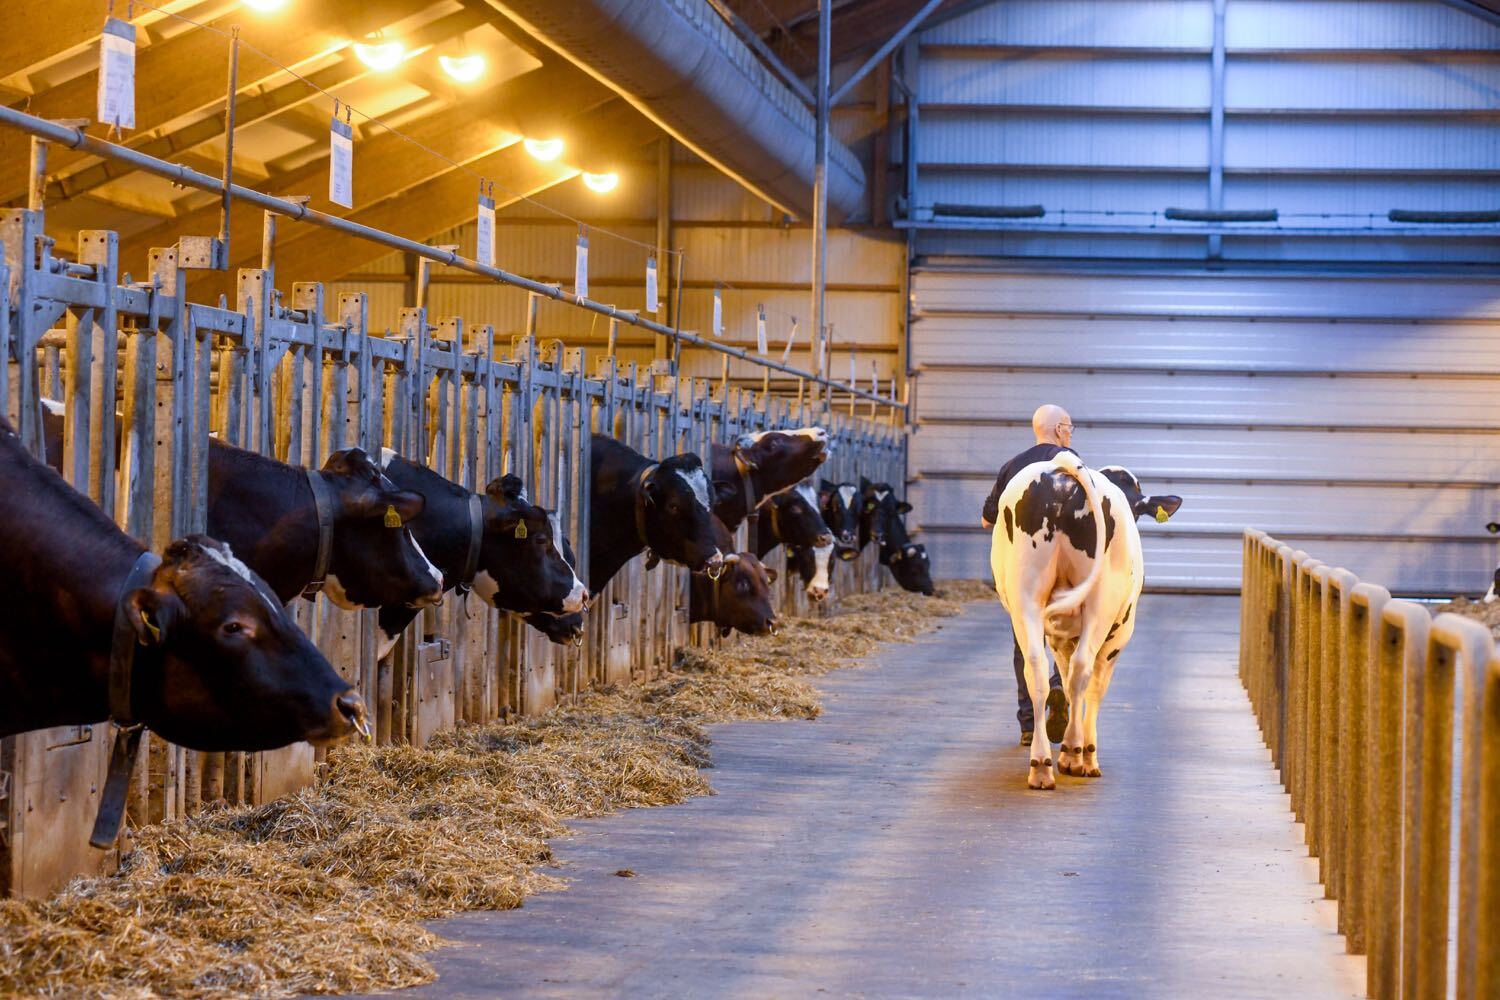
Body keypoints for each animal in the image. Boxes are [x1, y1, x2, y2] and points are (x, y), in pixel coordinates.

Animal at [984, 452, 1182, 791]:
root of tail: (1062, 470)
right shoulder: (1118, 635)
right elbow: (1094, 687)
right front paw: (1083, 754)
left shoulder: (1059, 636)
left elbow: (1062, 679)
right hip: (1100, 604)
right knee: (1083, 669)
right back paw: (1077, 753)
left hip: (1026, 599)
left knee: (1036, 670)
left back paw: (1041, 765)